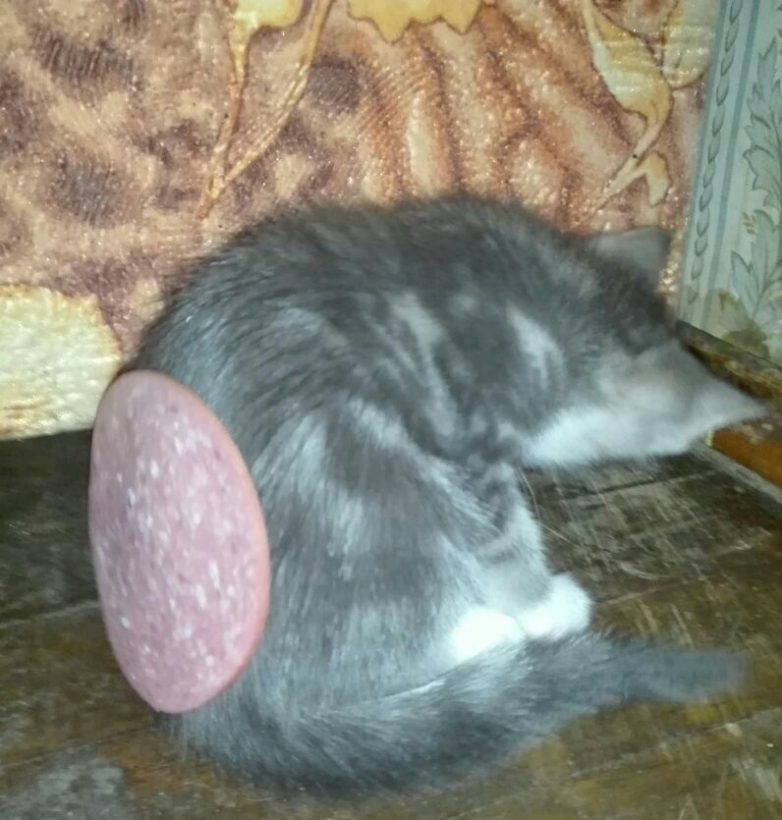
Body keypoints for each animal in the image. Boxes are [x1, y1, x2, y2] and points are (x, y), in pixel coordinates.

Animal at [135, 195, 765, 796]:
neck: (555, 295)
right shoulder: (470, 441)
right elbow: (504, 530)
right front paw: (541, 602)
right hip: (366, 480)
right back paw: (490, 632)